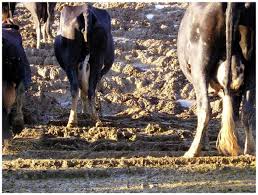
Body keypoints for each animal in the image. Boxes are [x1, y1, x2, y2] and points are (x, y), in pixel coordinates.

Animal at [176, 2, 255, 157]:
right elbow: (234, 113)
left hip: (200, 64)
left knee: (205, 109)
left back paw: (193, 151)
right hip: (252, 66)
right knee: (247, 111)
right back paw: (250, 150)